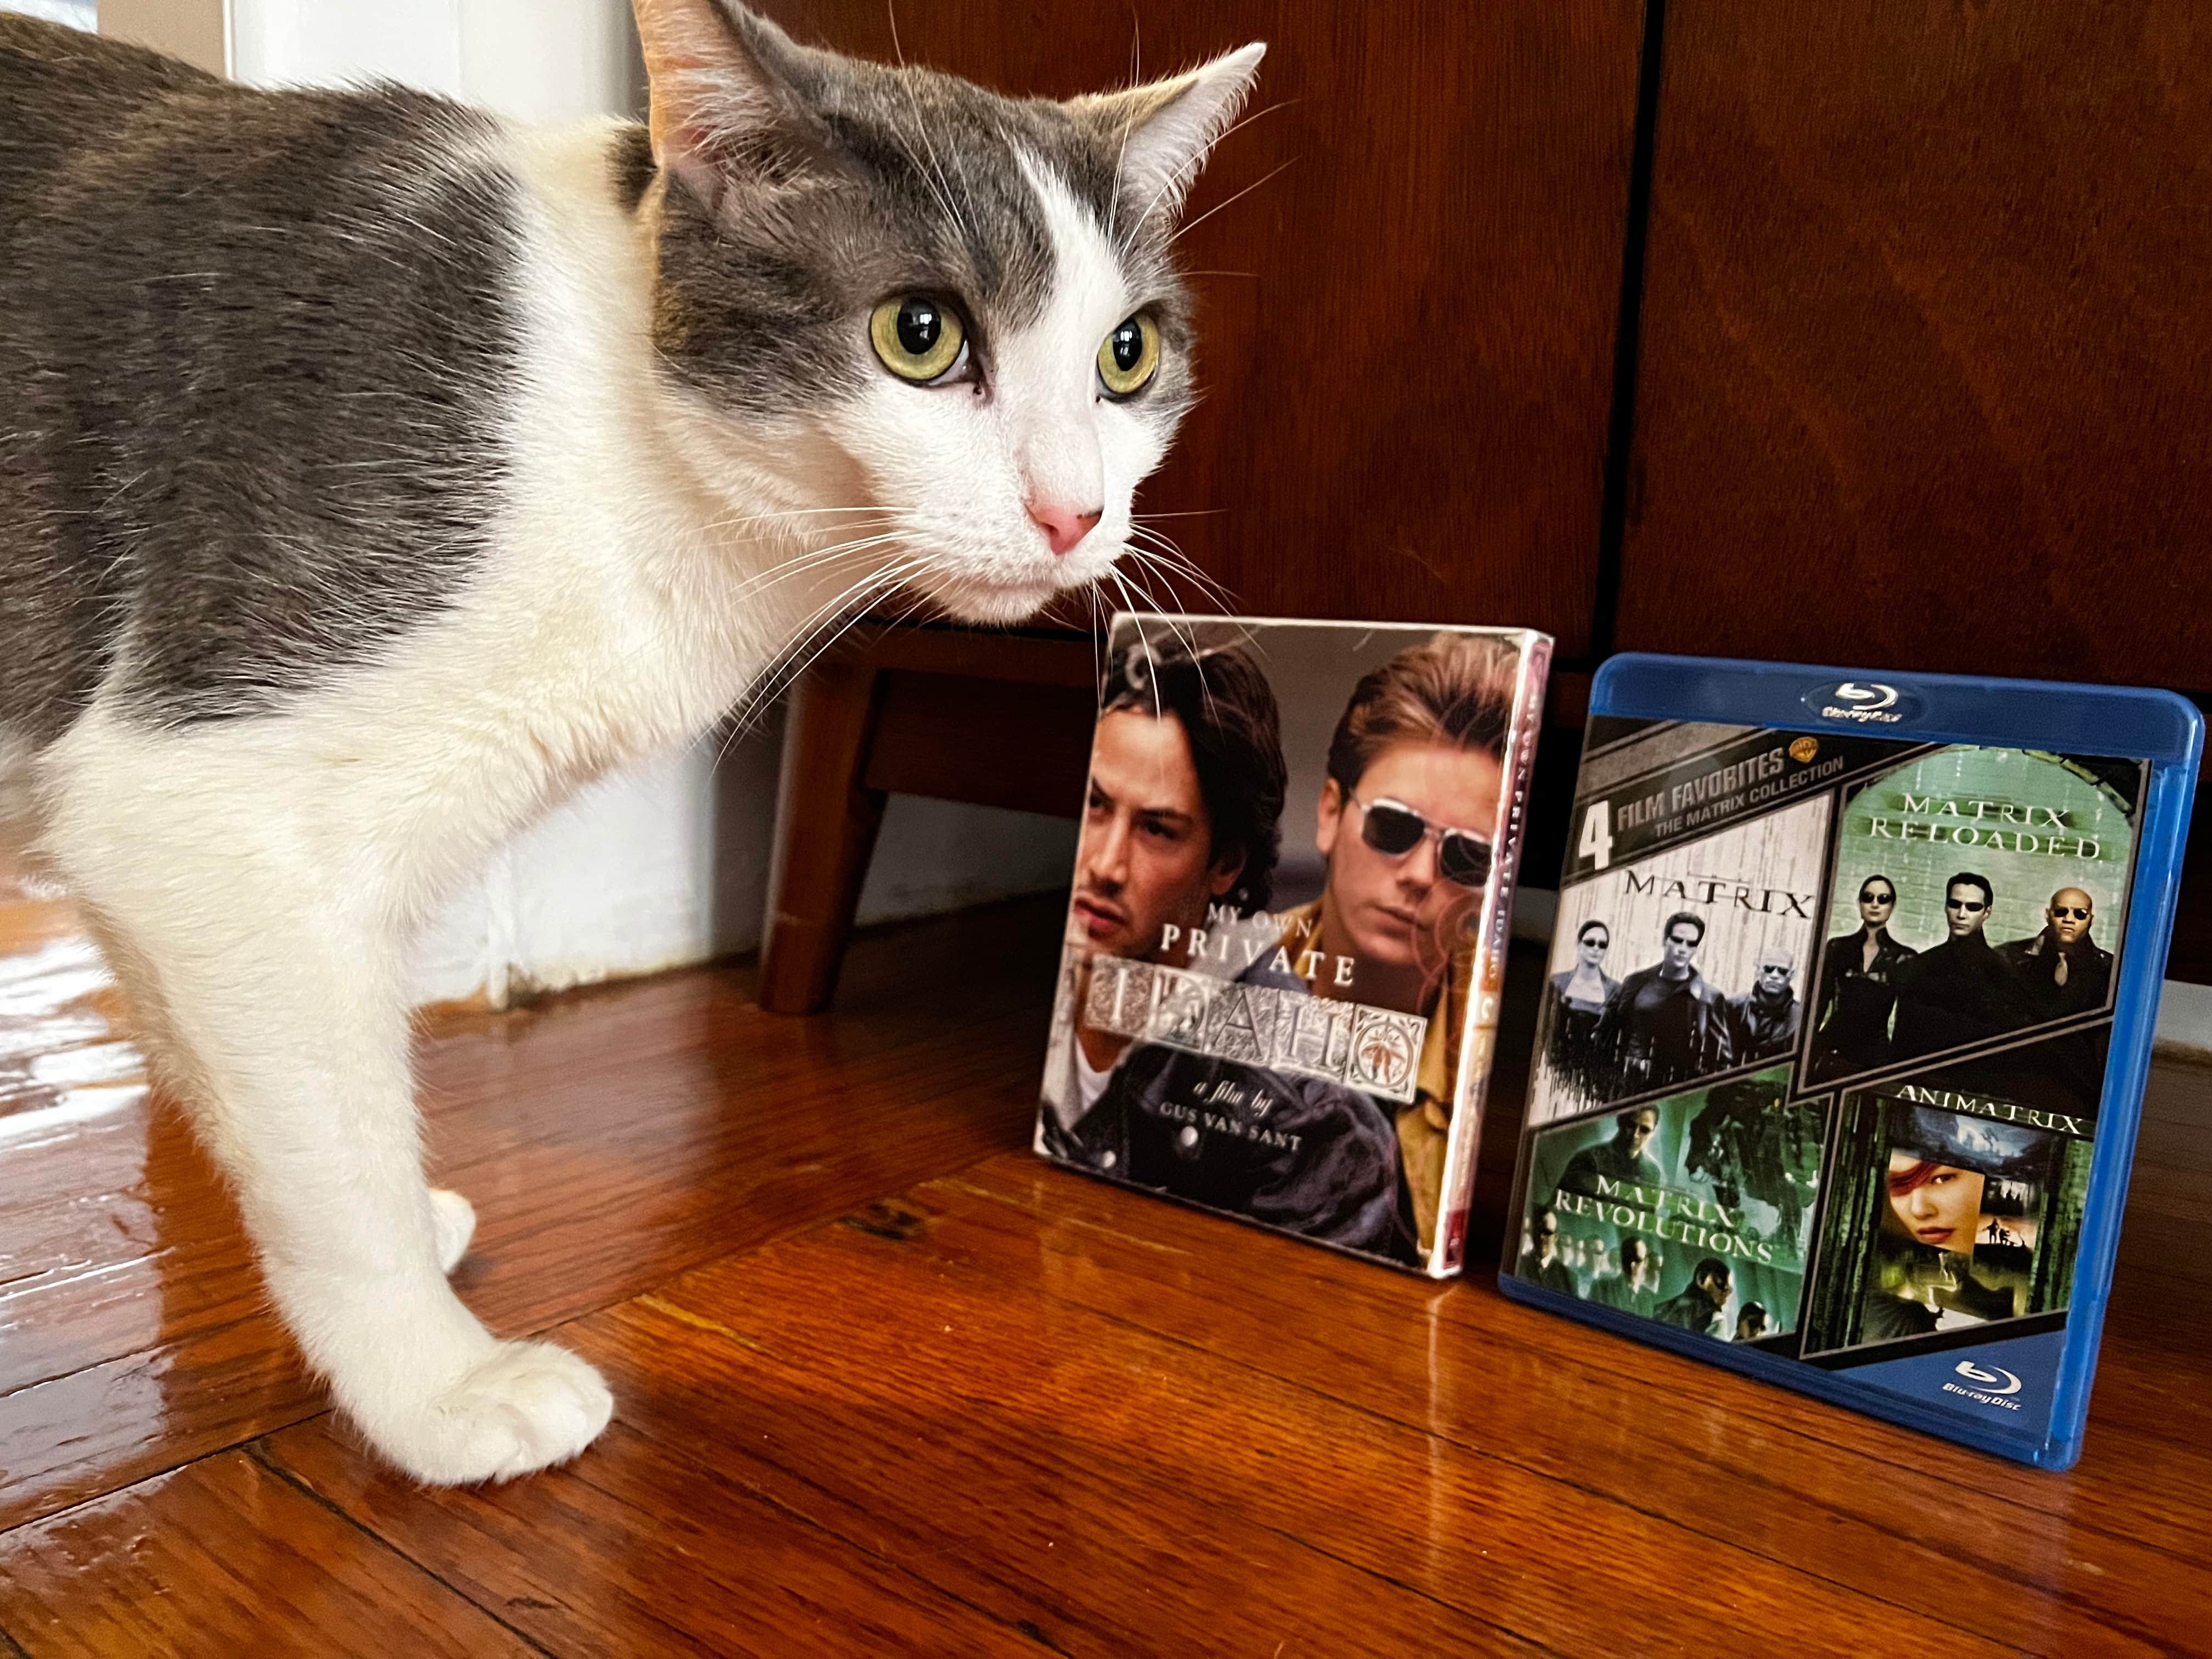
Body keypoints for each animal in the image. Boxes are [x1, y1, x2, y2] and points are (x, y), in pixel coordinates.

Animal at [0, 0, 1265, 1477]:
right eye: (920, 333)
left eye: (1129, 356)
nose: (1074, 512)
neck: (625, 448)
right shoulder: (197, 808)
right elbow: (332, 1152)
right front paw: (434, 1385)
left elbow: (270, 1086)